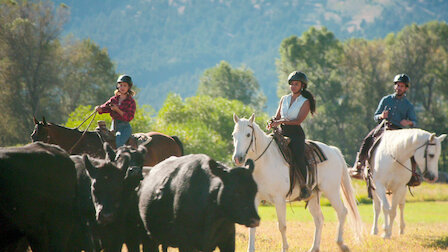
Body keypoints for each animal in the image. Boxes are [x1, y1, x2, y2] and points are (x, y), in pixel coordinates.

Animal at [231, 114, 364, 252]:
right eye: (233, 135)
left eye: (248, 134)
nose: (238, 158)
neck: (265, 161)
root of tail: (333, 150)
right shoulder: (255, 199)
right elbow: (253, 225)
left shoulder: (279, 200)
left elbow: (282, 226)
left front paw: (285, 248)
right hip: (313, 196)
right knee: (319, 219)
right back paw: (314, 248)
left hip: (331, 191)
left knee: (342, 212)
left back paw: (341, 244)